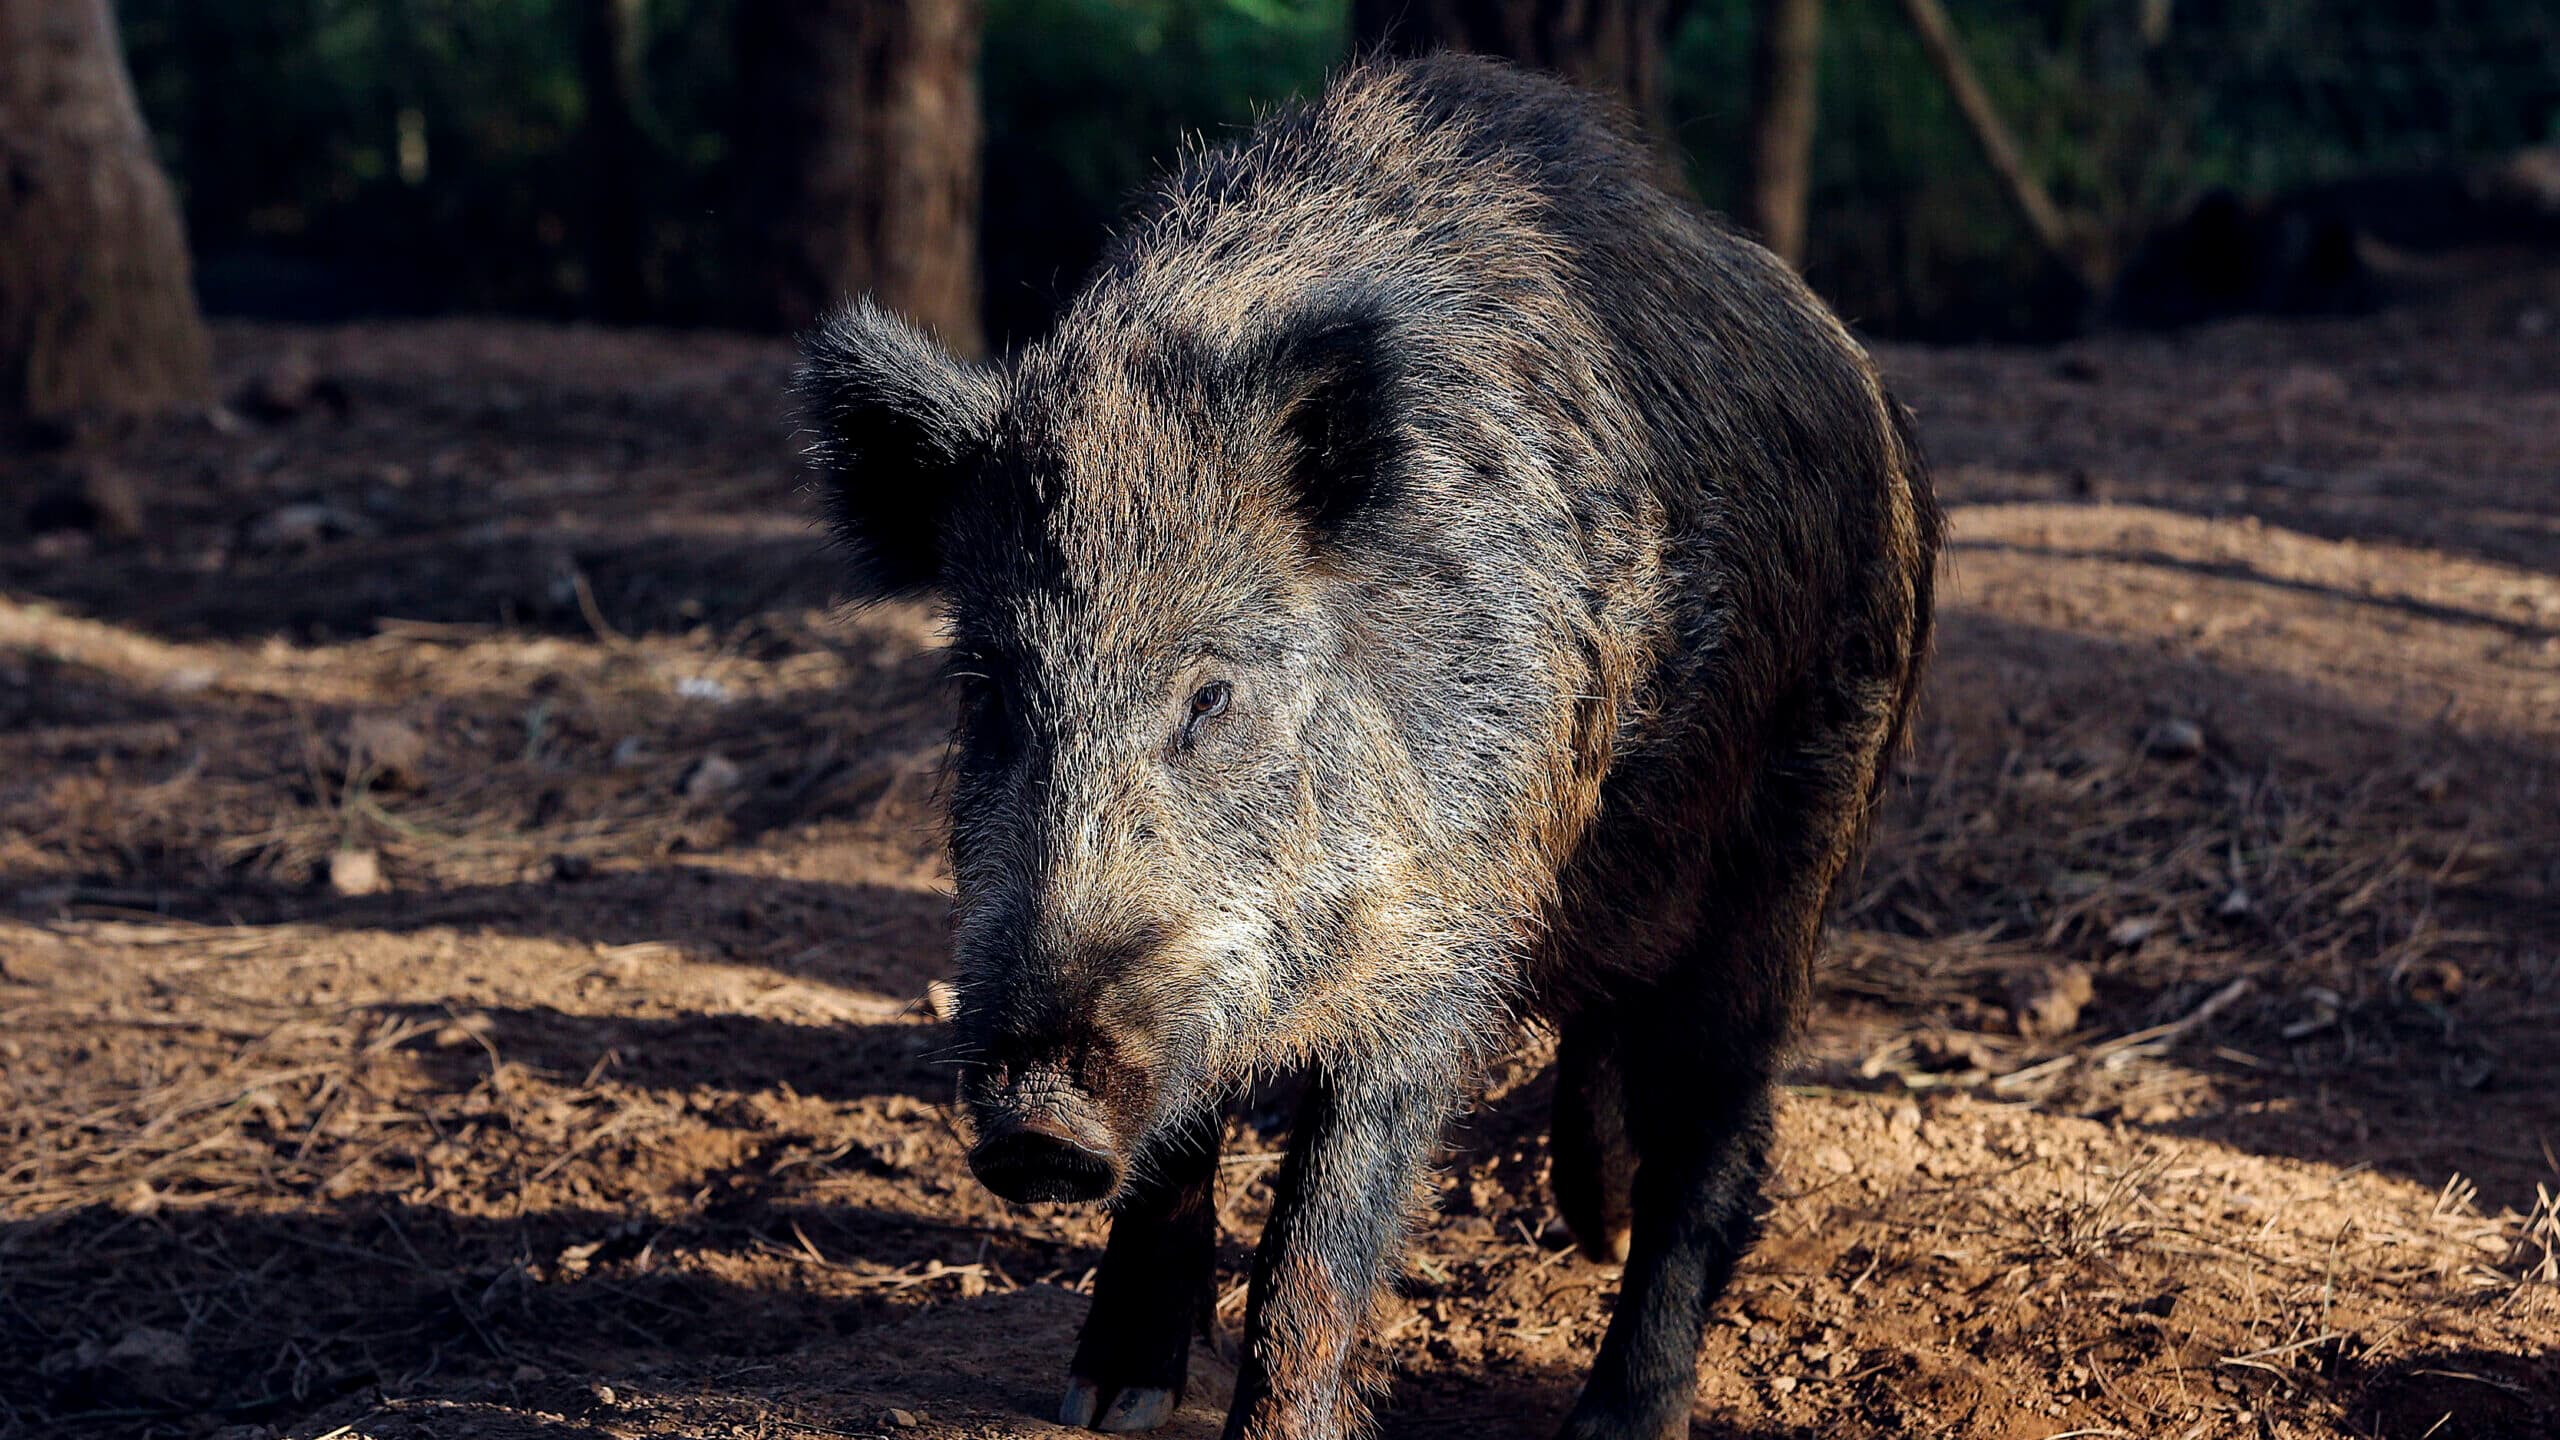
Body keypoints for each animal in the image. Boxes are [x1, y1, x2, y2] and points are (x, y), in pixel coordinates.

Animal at [799, 52, 1940, 1440]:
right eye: (988, 686)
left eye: (1211, 694)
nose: (1036, 1129)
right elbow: (1177, 1153)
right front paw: (1110, 1402)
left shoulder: (1439, 934)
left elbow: (1323, 1240)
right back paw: (1589, 1221)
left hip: (1795, 847)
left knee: (1717, 1128)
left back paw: (1621, 1410)